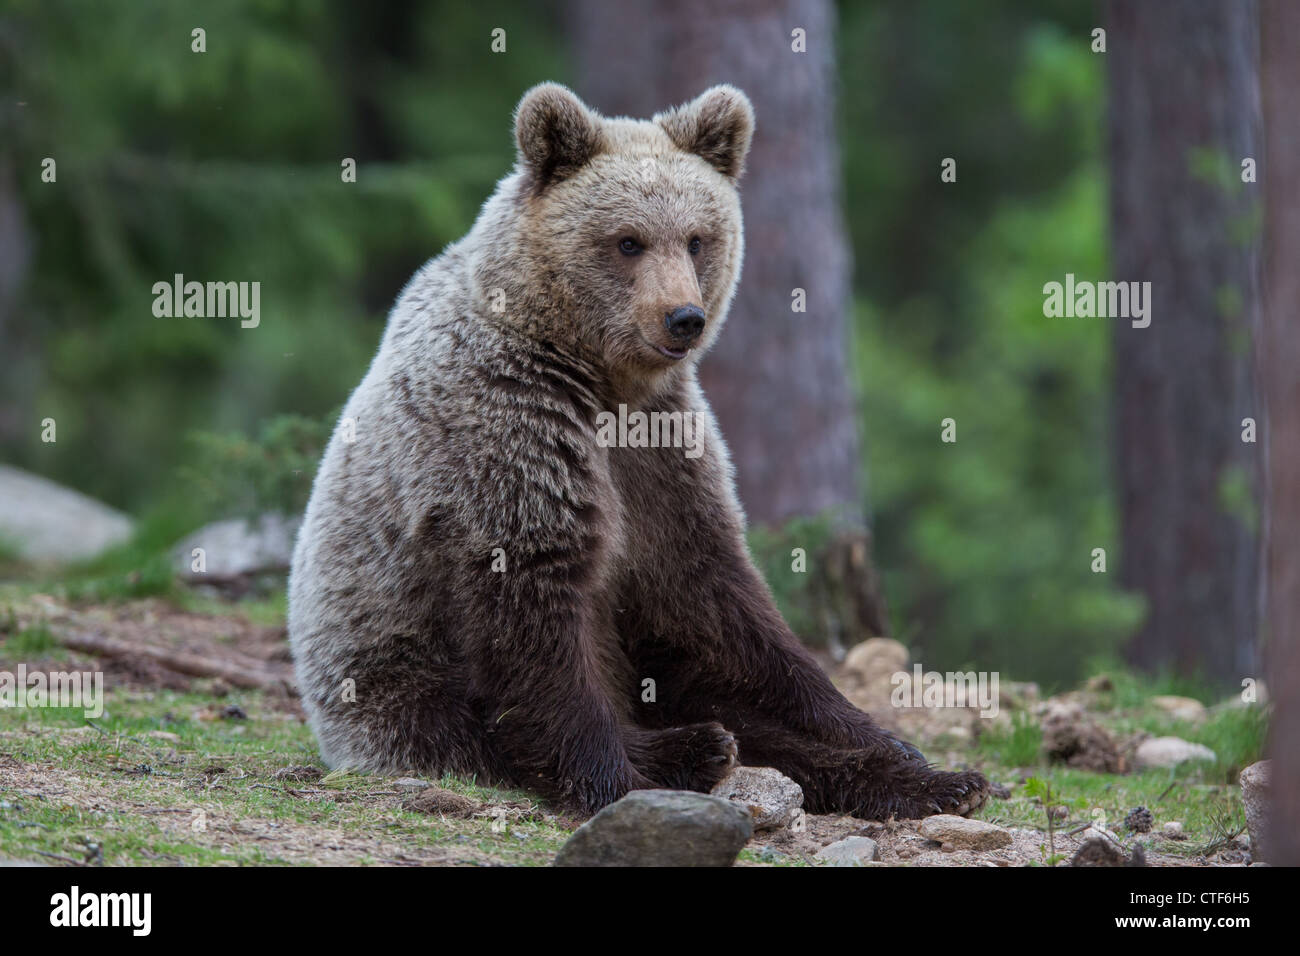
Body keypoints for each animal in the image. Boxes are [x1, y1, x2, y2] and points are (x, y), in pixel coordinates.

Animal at [288, 82, 988, 820]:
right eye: (627, 241)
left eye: (697, 238)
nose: (684, 318)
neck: (599, 378)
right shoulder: (506, 439)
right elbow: (537, 631)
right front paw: (613, 781)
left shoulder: (662, 453)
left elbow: (724, 605)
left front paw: (896, 744)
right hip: (392, 674)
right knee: (458, 723)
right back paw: (691, 749)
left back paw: (925, 781)